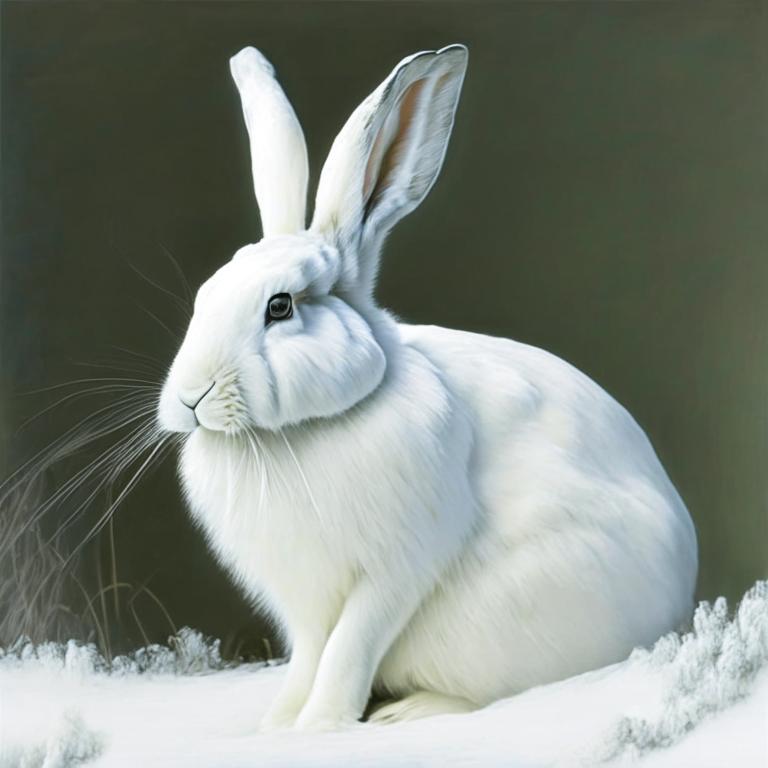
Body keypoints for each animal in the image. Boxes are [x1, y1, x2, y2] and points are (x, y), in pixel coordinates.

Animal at [157, 44, 698, 732]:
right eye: (205, 296)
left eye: (279, 307)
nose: (189, 398)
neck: (302, 433)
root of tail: (679, 610)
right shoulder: (304, 605)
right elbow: (309, 657)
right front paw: (278, 724)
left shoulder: (397, 566)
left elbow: (349, 648)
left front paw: (323, 725)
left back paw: (407, 713)